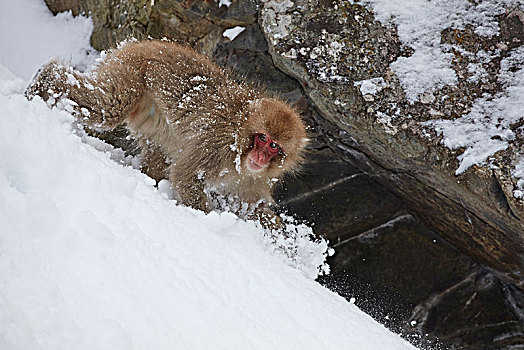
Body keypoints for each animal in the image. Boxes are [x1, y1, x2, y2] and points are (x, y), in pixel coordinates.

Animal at [26, 39, 308, 230]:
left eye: (274, 146)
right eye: (262, 138)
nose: (260, 157)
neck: (239, 141)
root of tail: (143, 43)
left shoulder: (255, 179)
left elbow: (253, 207)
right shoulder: (215, 145)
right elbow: (186, 177)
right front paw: (209, 220)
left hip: (149, 118)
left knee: (158, 155)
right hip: (130, 70)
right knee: (107, 105)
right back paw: (44, 82)